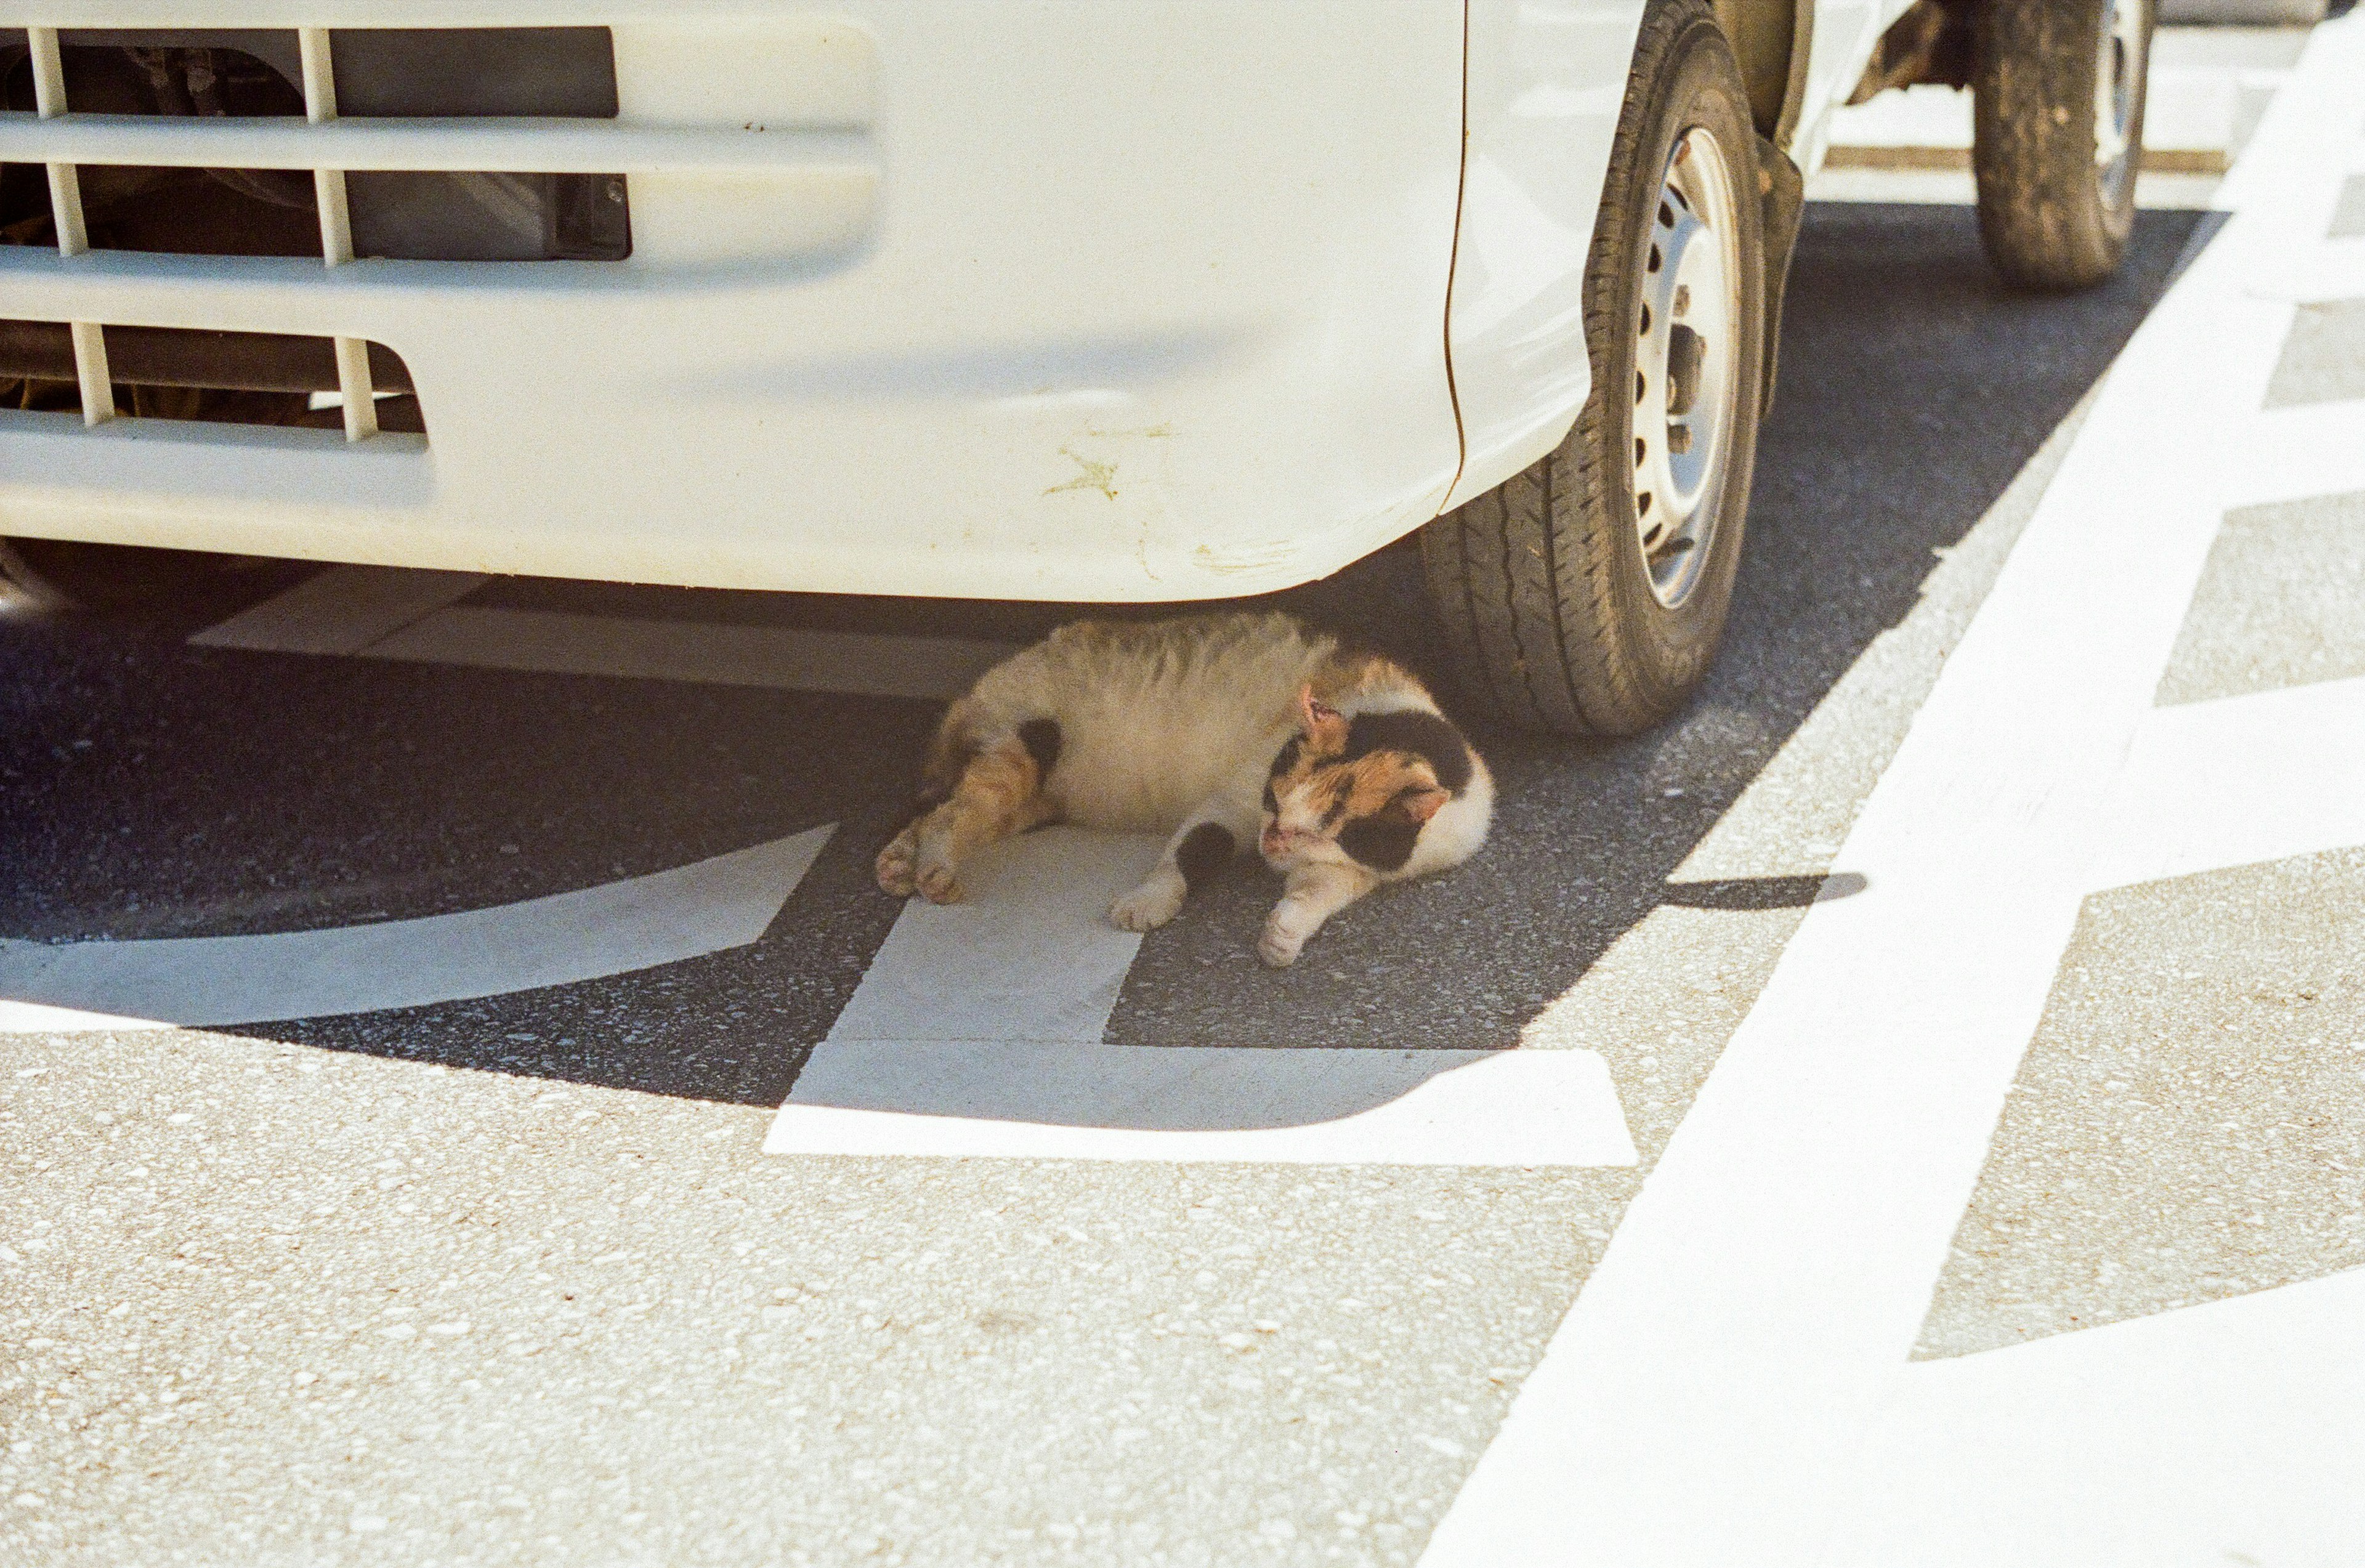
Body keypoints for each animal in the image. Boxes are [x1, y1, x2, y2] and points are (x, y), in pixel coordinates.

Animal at [870, 615, 1494, 969]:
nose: (1272, 841)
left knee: (944, 809)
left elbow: (1316, 894)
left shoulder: (1356, 871)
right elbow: (1187, 854)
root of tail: (981, 684)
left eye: (1318, 831)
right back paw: (935, 870)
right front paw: (1146, 904)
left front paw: (1282, 937)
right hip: (1028, 744)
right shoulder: (1234, 801)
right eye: (1275, 801)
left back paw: (901, 863)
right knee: (955, 811)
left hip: (1034, 798)